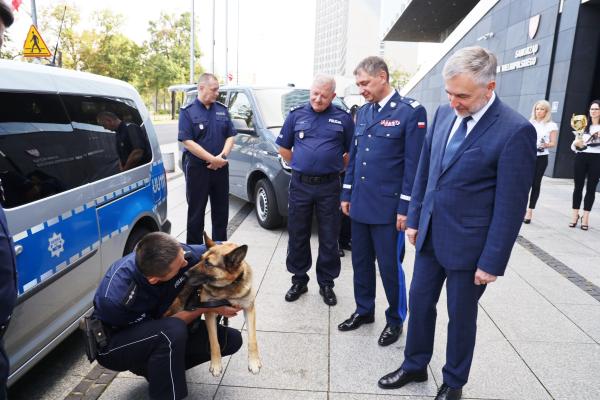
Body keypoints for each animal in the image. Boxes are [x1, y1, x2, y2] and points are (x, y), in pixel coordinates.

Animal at [164, 233, 260, 376]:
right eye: (201, 259)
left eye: (208, 264)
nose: (184, 275)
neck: (228, 288)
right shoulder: (210, 312)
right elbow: (214, 342)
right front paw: (216, 365)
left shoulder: (249, 309)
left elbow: (253, 339)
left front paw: (254, 362)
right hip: (178, 306)